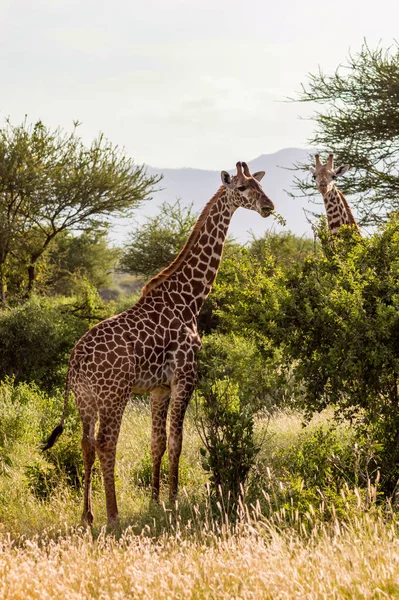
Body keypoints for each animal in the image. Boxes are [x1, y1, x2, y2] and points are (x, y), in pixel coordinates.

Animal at [42, 159, 276, 524]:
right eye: (241, 188)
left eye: (260, 185)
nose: (269, 207)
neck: (190, 299)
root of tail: (74, 361)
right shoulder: (184, 377)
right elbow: (178, 441)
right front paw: (174, 500)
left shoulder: (158, 387)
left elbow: (157, 442)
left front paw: (155, 500)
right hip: (114, 395)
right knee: (106, 443)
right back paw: (113, 516)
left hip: (85, 400)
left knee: (85, 444)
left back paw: (88, 516)